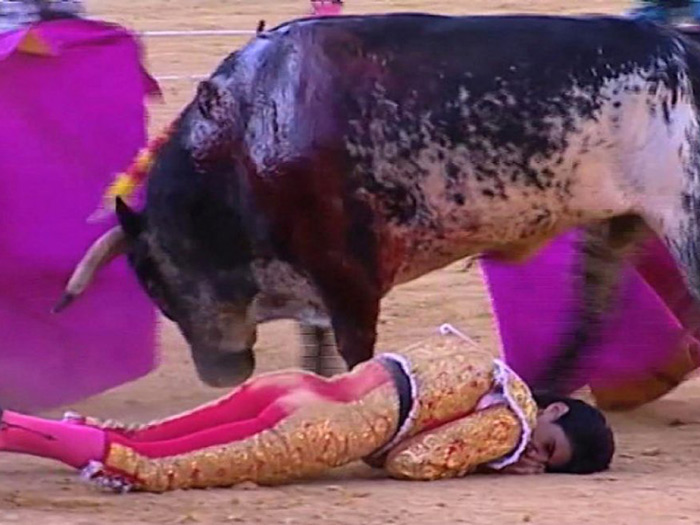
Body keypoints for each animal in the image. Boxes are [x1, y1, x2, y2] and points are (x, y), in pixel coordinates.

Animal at [56, 13, 700, 391]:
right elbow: (316, 341)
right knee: (592, 312)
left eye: (153, 281)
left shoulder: (344, 270)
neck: (244, 134)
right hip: (621, 223)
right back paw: (546, 387)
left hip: (685, 225)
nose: (222, 375)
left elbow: (353, 347)